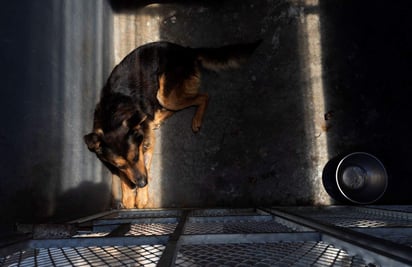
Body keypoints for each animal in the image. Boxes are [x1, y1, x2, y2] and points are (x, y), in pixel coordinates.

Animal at [84, 40, 260, 209]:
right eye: (119, 166)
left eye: (135, 157)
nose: (142, 183)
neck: (113, 113)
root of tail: (186, 50)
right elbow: (125, 175)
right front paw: (128, 196)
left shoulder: (146, 144)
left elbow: (145, 164)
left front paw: (141, 198)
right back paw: (157, 119)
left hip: (165, 95)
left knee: (203, 96)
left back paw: (196, 120)